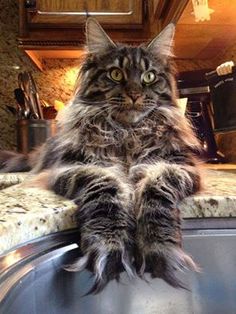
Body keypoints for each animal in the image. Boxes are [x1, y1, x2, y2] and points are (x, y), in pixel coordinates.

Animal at [0, 18, 202, 294]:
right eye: (115, 74)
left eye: (149, 77)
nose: (135, 94)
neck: (128, 134)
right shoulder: (80, 166)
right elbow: (106, 194)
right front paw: (110, 246)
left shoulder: (174, 166)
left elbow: (155, 194)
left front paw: (158, 245)